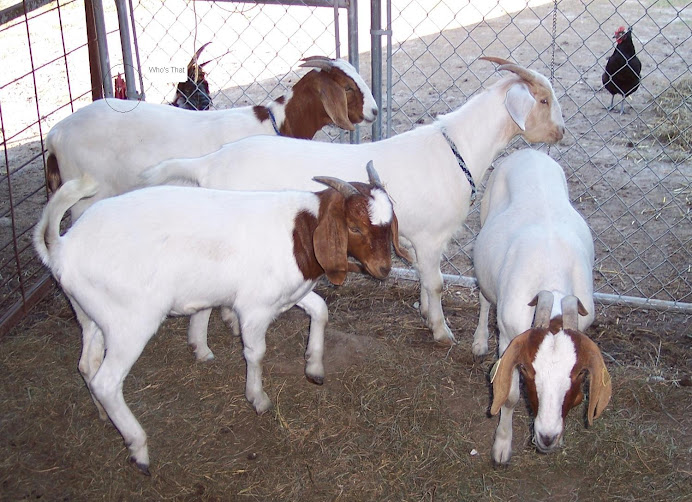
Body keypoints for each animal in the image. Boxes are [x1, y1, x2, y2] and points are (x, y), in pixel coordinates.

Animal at [33, 162, 400, 474]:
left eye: (388, 224)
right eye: (354, 226)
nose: (384, 269)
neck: (301, 231)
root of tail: (63, 248)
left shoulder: (286, 294)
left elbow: (320, 309)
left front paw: (314, 367)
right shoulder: (255, 305)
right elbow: (256, 353)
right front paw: (258, 399)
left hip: (91, 314)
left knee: (87, 365)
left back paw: (101, 413)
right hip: (130, 322)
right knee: (107, 381)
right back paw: (138, 448)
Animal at [142, 55, 568, 346]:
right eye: (544, 101)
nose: (561, 133)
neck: (456, 148)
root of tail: (209, 162)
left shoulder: (416, 239)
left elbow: (423, 280)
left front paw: (424, 313)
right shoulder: (431, 238)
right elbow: (436, 284)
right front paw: (441, 330)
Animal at [470, 149, 612, 466]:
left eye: (577, 376)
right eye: (529, 372)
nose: (547, 437)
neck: (553, 280)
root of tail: (530, 152)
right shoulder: (509, 336)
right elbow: (509, 396)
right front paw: (502, 447)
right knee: (484, 297)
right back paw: (479, 341)